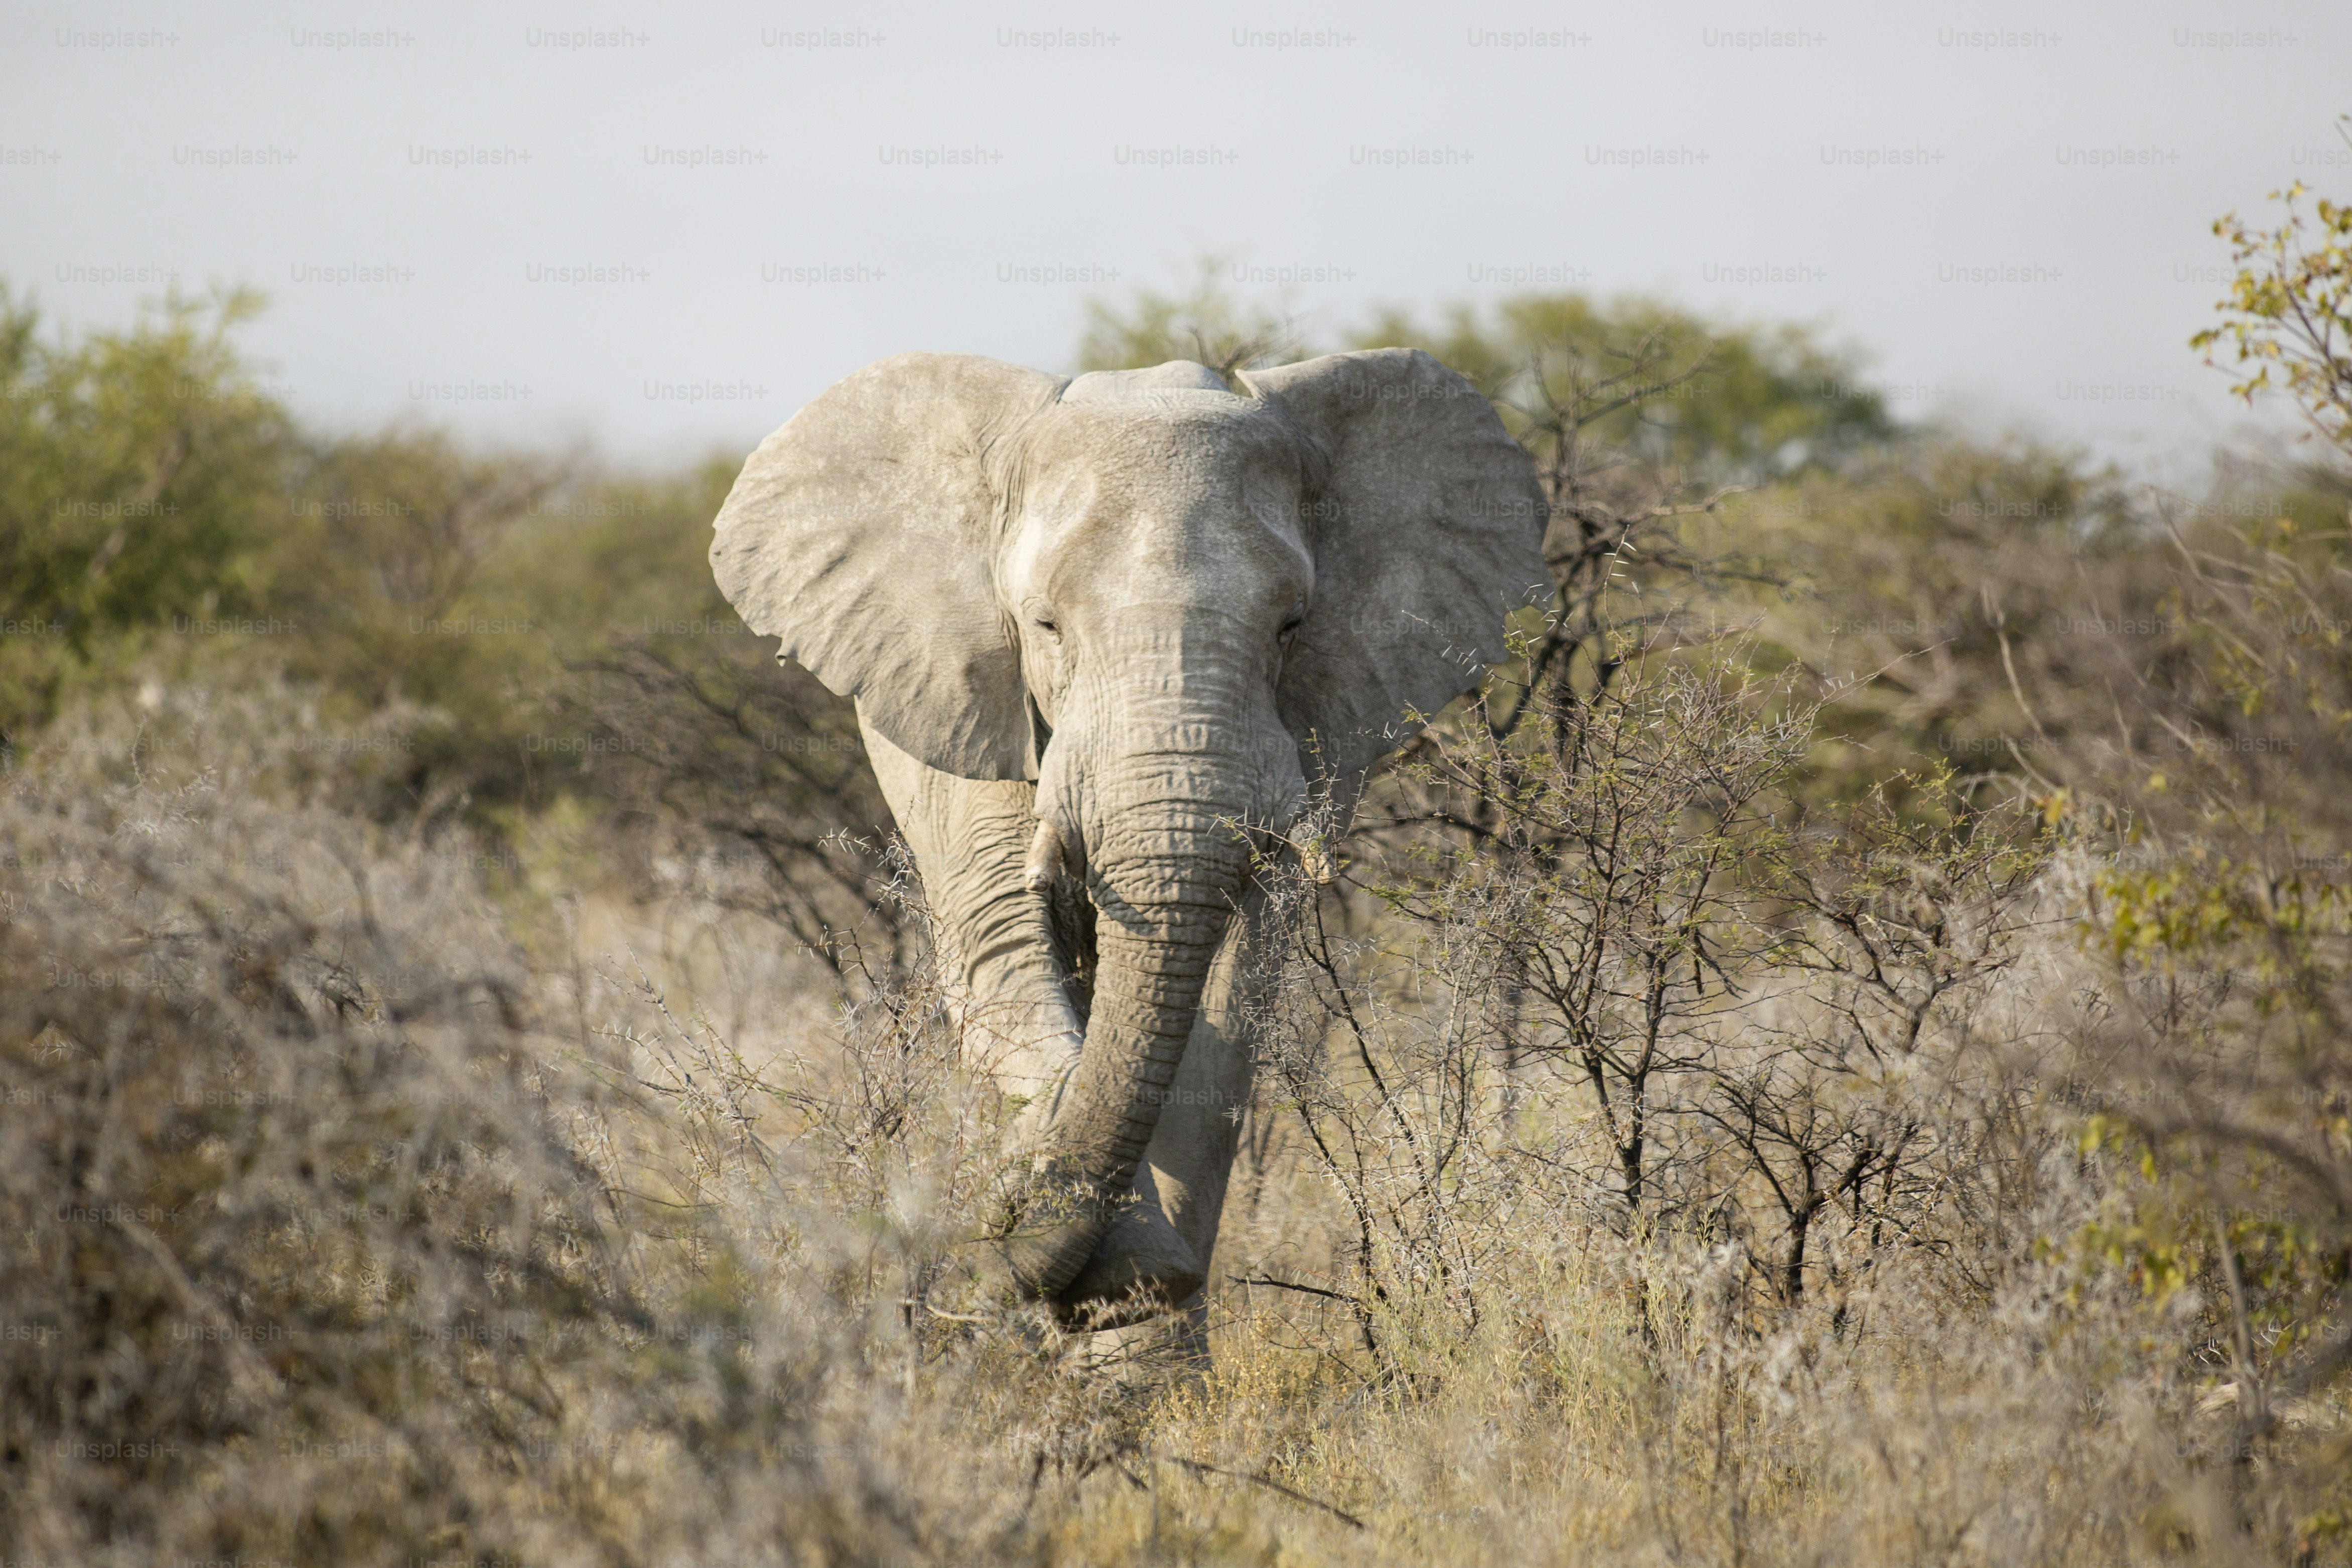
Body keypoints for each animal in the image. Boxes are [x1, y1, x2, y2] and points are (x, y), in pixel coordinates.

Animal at [709, 347, 1547, 1342]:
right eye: (1043, 625)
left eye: (1292, 625)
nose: (974, 1246)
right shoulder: (966, 691)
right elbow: (1002, 930)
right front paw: (1113, 1276)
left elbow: (1235, 985)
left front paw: (1147, 1311)